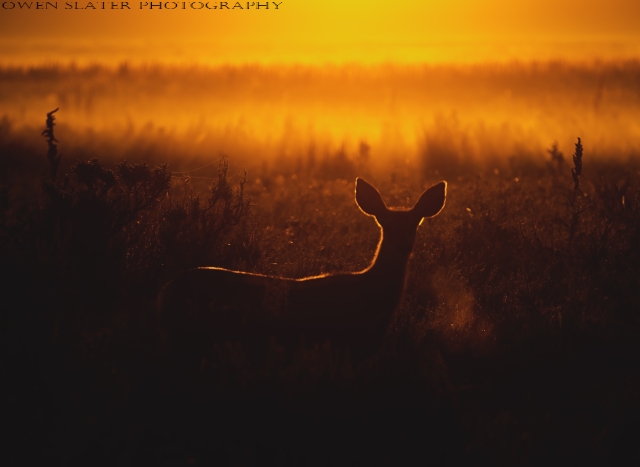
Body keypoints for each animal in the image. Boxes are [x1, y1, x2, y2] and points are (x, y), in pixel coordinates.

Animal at [157, 178, 446, 368]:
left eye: (416, 223)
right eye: (385, 224)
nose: (403, 245)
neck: (371, 295)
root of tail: (167, 289)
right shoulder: (344, 345)